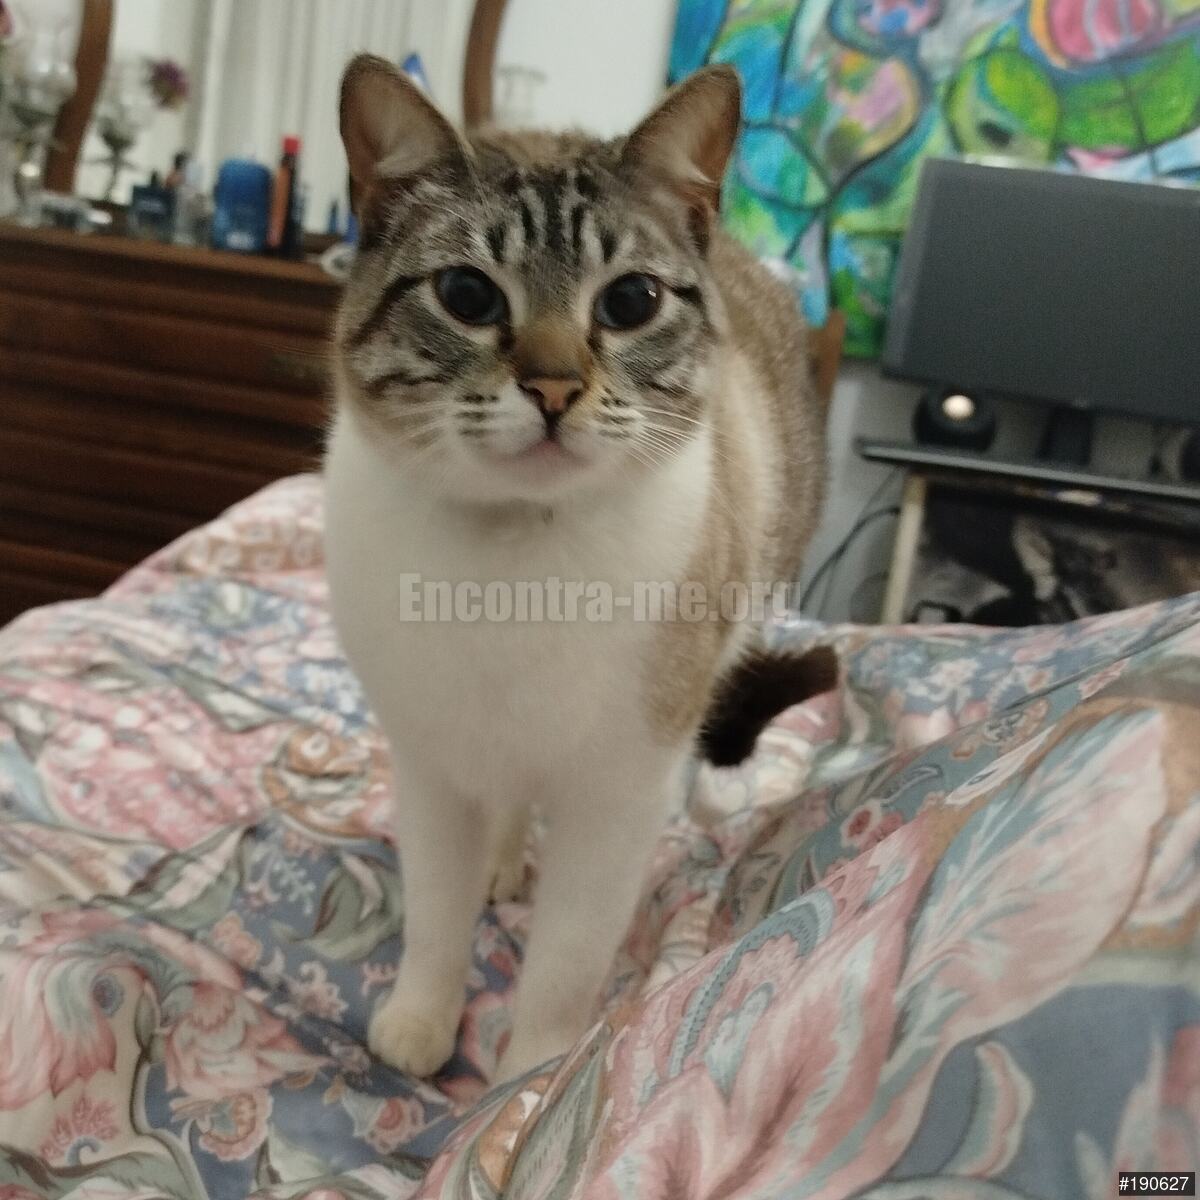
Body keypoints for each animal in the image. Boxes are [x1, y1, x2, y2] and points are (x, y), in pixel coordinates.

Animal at [323, 54, 827, 1082]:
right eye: (468, 296)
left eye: (629, 302)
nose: (553, 390)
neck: (515, 563)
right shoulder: (432, 767)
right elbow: (435, 920)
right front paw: (420, 1027)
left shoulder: (615, 795)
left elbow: (561, 966)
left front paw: (526, 1082)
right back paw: (504, 863)